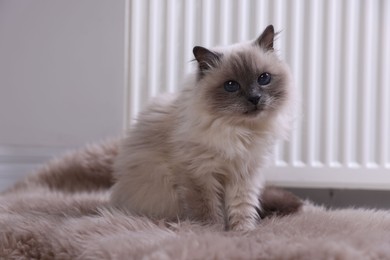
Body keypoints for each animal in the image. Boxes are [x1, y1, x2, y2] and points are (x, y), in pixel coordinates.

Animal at [108, 24, 294, 232]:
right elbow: (207, 209)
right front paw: (211, 232)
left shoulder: (244, 174)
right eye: (231, 85)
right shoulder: (199, 174)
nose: (254, 98)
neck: (238, 131)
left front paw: (243, 231)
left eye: (264, 78)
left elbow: (242, 207)